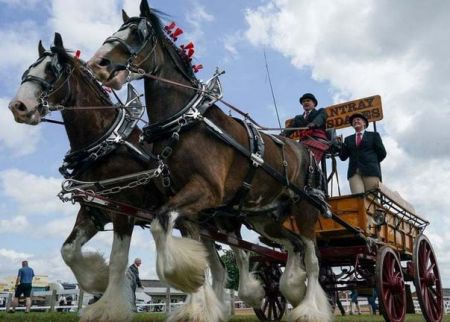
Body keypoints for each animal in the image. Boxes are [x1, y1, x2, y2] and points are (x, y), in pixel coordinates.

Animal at [7, 33, 174, 322]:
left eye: (52, 70)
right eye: (28, 70)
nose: (18, 106)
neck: (106, 144)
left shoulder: (124, 211)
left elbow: (119, 261)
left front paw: (109, 308)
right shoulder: (93, 211)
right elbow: (68, 251)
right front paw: (98, 280)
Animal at [89, 1, 332, 320]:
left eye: (139, 33)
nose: (98, 63)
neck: (183, 123)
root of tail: (305, 151)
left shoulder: (206, 190)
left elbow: (160, 222)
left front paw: (189, 284)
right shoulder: (189, 208)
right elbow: (190, 244)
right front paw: (200, 300)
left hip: (305, 211)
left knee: (313, 258)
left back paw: (310, 309)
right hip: (263, 218)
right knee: (293, 246)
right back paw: (292, 289)